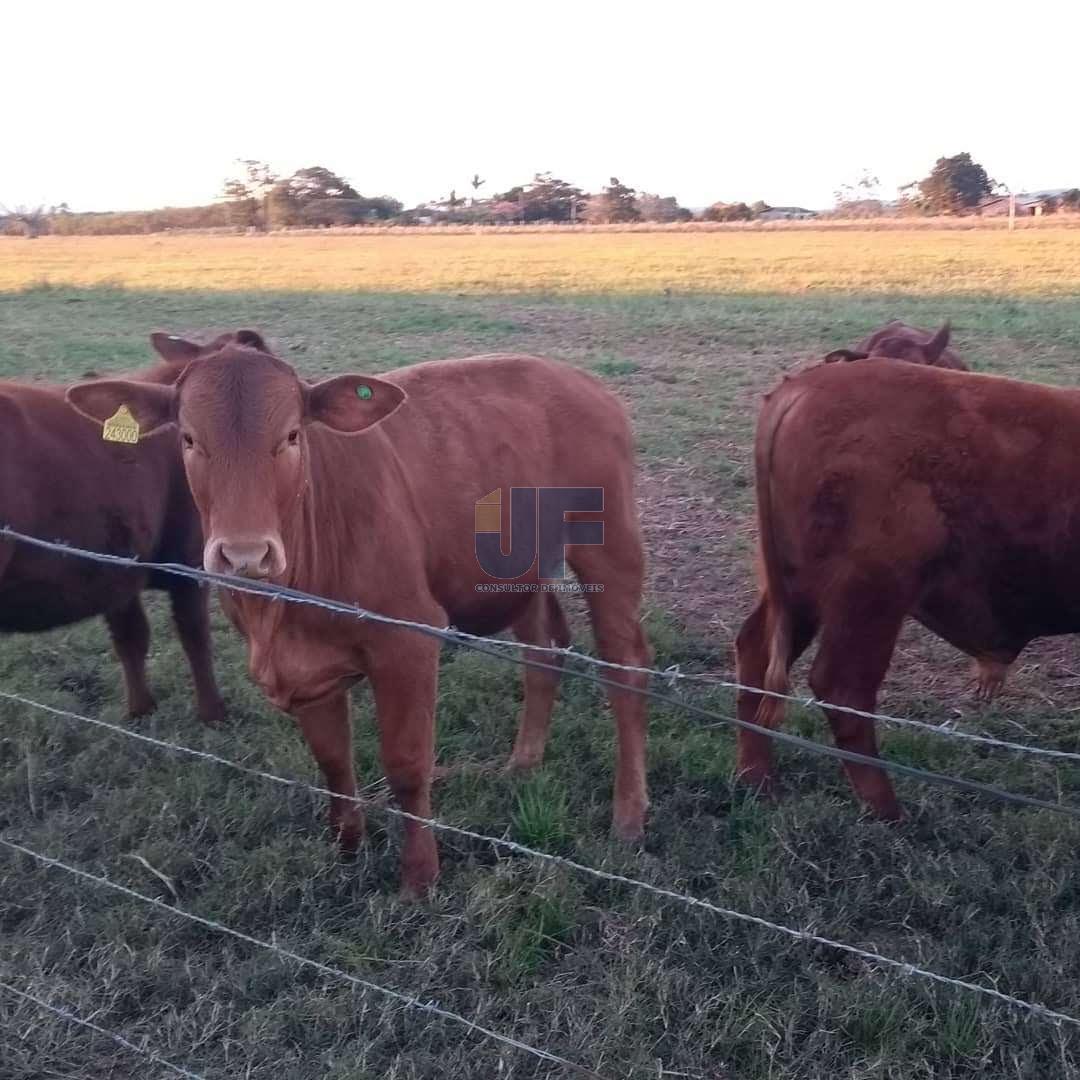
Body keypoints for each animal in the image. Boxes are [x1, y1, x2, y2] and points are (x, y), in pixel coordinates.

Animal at [0, 330, 259, 725]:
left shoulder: (115, 566)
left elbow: (131, 637)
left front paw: (140, 710)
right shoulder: (188, 561)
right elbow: (195, 636)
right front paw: (213, 711)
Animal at [71, 343, 652, 894]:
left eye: (291, 436)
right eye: (189, 439)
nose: (244, 554)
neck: (280, 614)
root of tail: (578, 379)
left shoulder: (408, 640)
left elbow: (406, 764)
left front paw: (419, 878)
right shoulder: (304, 672)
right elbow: (332, 760)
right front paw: (347, 849)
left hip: (610, 547)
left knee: (624, 669)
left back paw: (628, 815)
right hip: (521, 570)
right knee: (544, 652)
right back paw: (521, 763)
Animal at [734, 358, 1080, 820]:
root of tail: (804, 387)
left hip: (798, 593)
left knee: (757, 654)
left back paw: (757, 781)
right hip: (871, 598)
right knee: (844, 689)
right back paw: (888, 812)